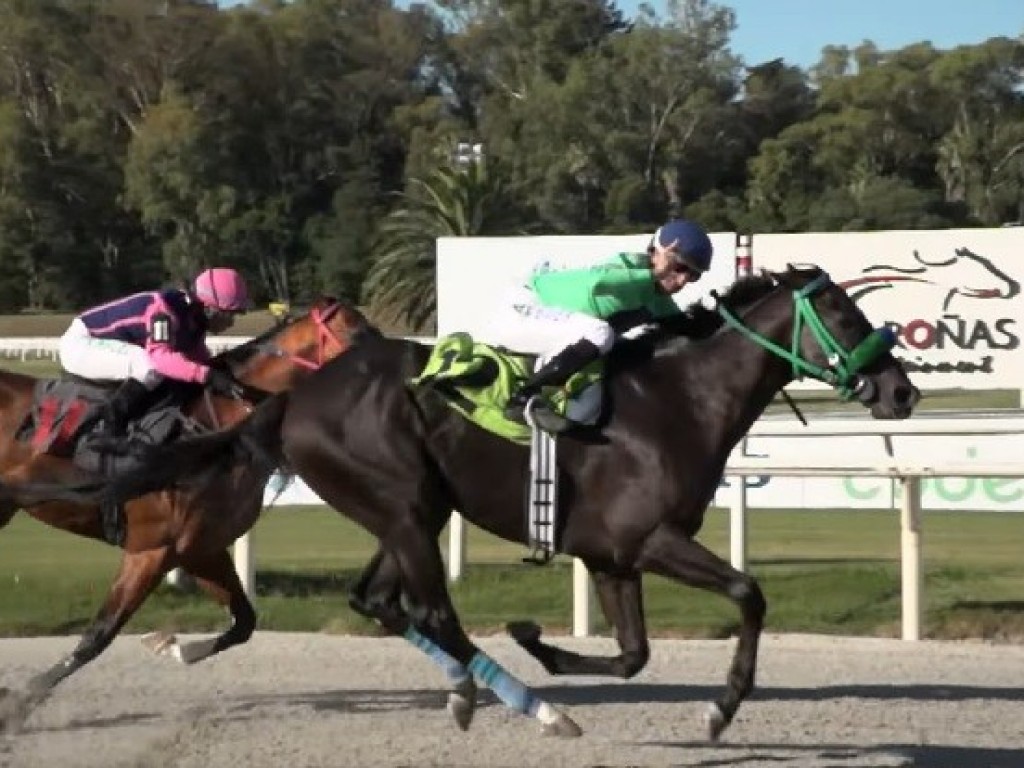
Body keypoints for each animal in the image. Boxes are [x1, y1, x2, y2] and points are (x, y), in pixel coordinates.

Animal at [0, 296, 372, 737]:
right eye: (357, 332)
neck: (218, 434)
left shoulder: (200, 549)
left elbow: (244, 622)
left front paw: (176, 648)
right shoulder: (151, 549)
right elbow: (98, 635)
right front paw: (21, 701)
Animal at [54, 268, 921, 741]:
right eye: (844, 315)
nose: (903, 392)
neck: (680, 400)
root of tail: (295, 397)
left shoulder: (611, 555)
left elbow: (634, 654)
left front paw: (545, 642)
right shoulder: (648, 538)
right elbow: (749, 592)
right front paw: (720, 709)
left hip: (415, 508)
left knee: (381, 600)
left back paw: (485, 689)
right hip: (404, 503)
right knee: (433, 612)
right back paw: (530, 708)